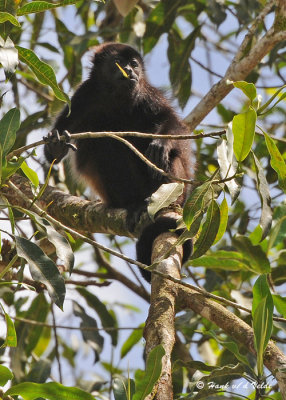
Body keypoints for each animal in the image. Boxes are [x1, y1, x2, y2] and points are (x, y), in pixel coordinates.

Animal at [44, 43, 192, 282]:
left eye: (134, 64)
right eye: (119, 63)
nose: (130, 71)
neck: (115, 97)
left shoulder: (148, 95)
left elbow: (174, 125)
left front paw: (162, 142)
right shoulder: (82, 96)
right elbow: (54, 154)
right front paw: (56, 146)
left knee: (163, 155)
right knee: (106, 144)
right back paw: (133, 204)